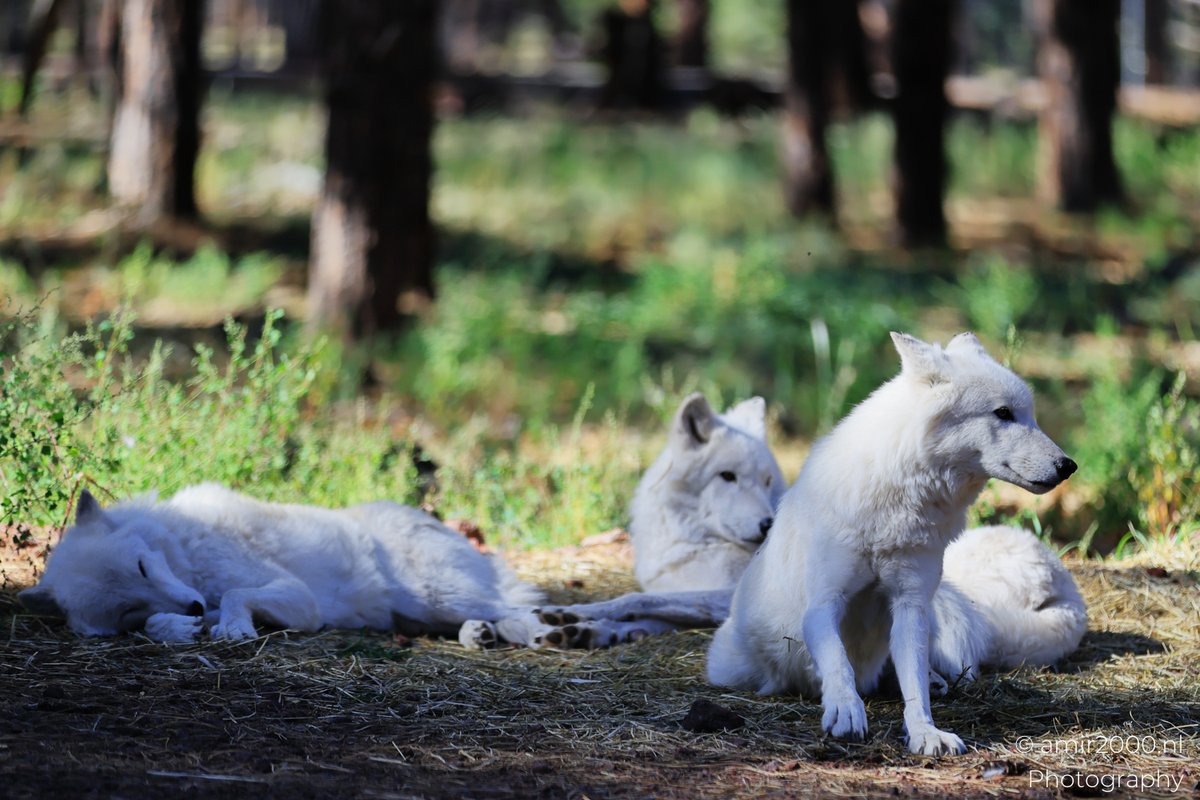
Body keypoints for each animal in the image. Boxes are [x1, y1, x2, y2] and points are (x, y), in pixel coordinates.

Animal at [705, 332, 1080, 756]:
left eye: (1030, 415)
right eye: (1003, 413)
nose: (1068, 466)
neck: (895, 505)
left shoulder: (911, 604)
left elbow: (913, 682)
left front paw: (925, 732)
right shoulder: (822, 604)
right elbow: (838, 661)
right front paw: (845, 710)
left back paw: (934, 679)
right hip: (732, 665)